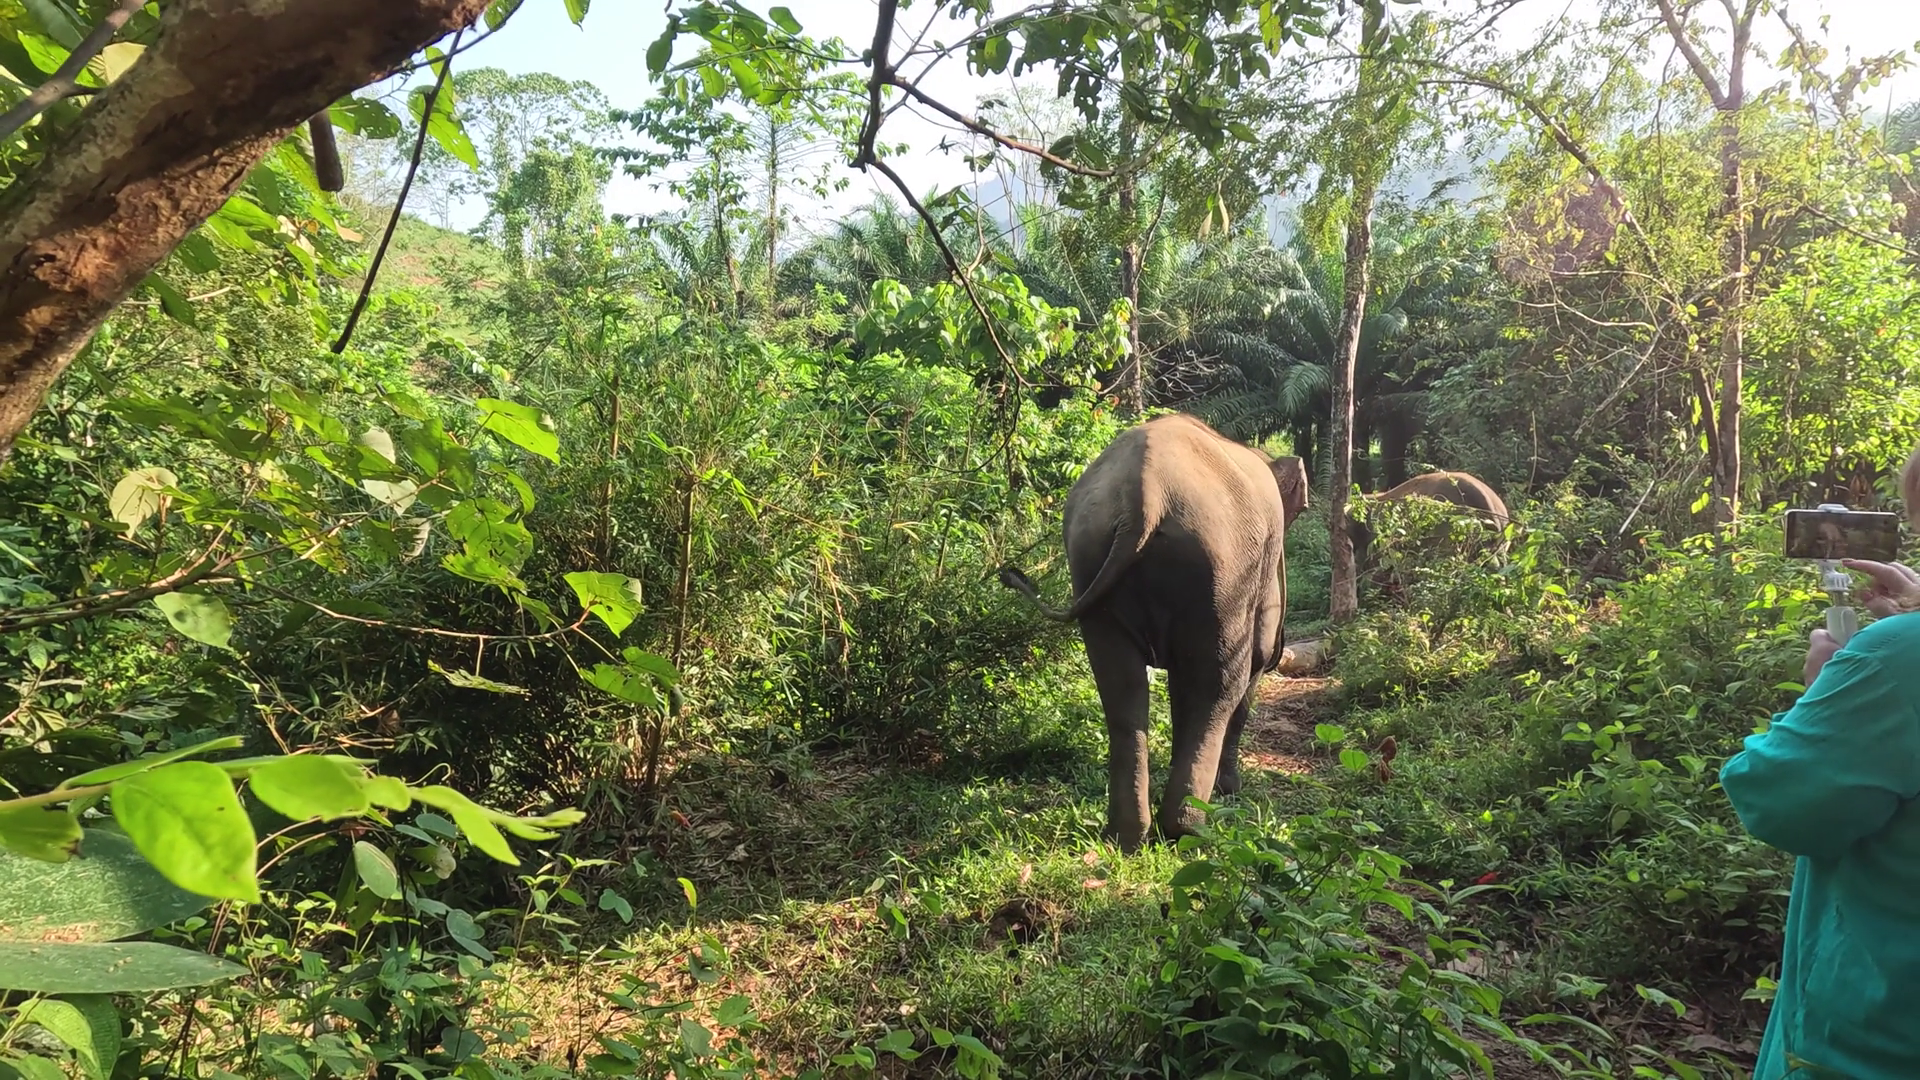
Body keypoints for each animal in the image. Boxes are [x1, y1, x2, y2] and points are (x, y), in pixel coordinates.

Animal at [999, 413, 1310, 853]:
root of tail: (1143, 496)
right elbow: (1255, 659)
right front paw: (1230, 790)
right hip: (1220, 568)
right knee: (1217, 683)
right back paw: (1187, 830)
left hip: (1091, 557)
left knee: (1121, 687)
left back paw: (1126, 837)